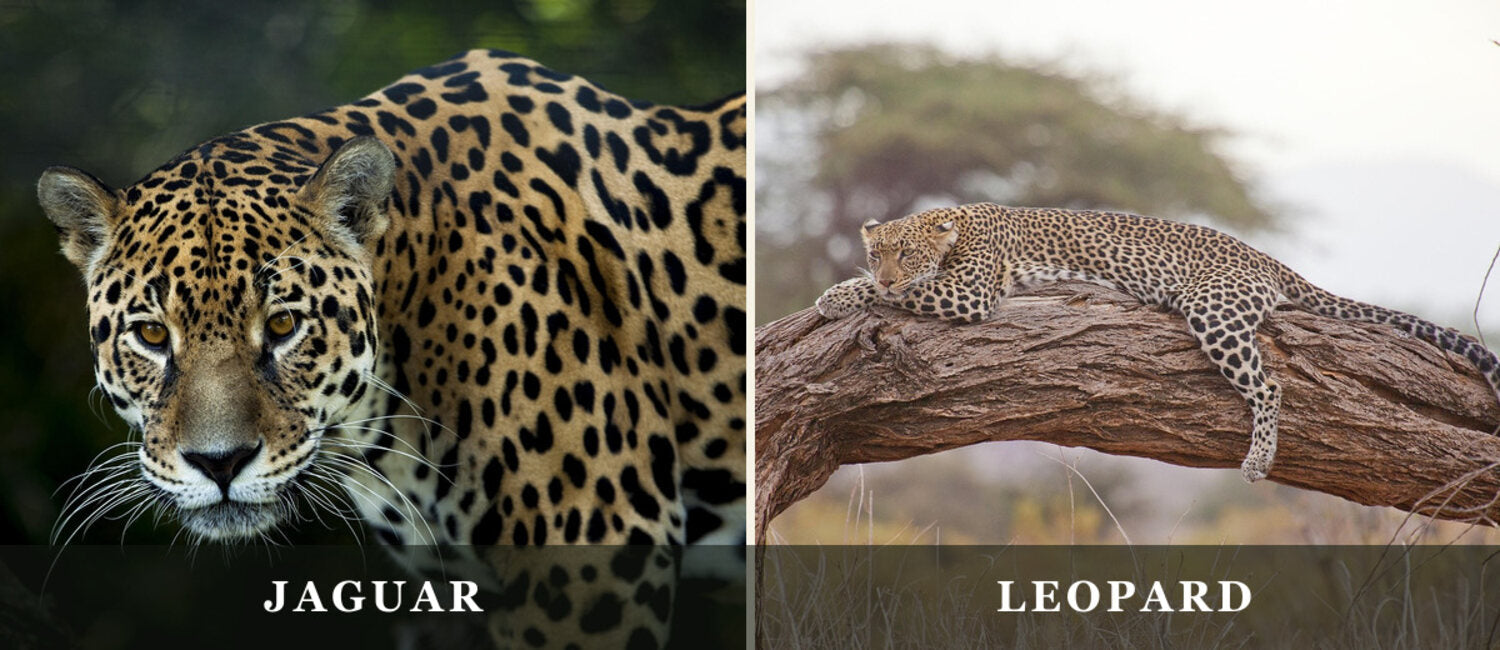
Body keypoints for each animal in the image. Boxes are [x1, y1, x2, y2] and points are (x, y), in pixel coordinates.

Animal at [816, 202, 1500, 482]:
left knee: (1269, 384)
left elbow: (898, 295)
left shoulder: (970, 293)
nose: (885, 270)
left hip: (1214, 309)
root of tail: (1267, 259)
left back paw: (1258, 461)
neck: (955, 228)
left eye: (904, 254)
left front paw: (837, 296)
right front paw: (844, 289)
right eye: (877, 251)